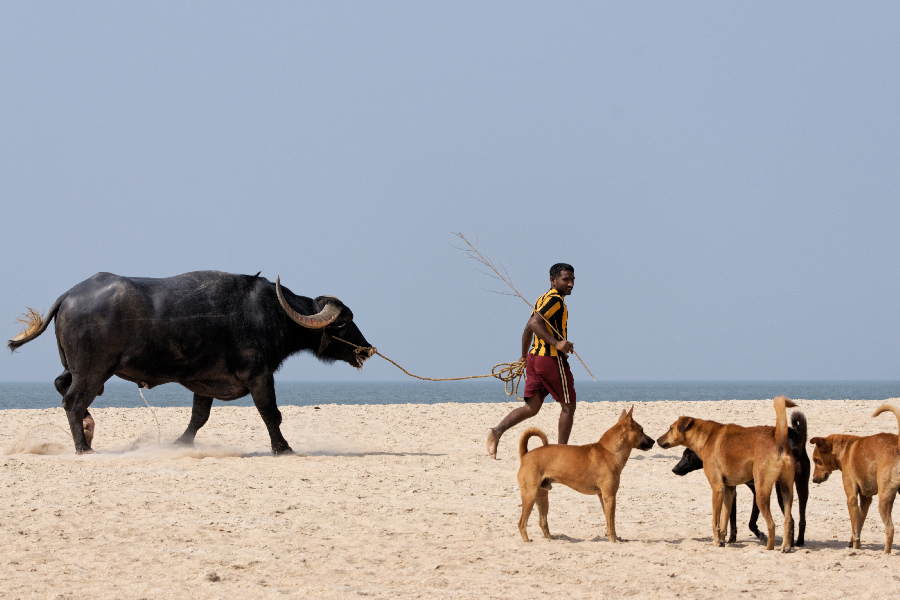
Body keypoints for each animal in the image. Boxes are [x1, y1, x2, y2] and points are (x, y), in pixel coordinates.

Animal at [7, 270, 372, 452]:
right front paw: (283, 448)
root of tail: (69, 295)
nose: (367, 349)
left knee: (62, 386)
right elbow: (271, 413)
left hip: (77, 368)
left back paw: (88, 429)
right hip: (93, 370)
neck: (272, 313)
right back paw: (83, 446)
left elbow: (199, 417)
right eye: (345, 322)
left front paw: (180, 444)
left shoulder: (205, 381)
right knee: (72, 399)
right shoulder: (259, 375)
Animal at [512, 408, 652, 544]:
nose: (653, 441)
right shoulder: (610, 496)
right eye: (641, 430)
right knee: (521, 523)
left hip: (542, 496)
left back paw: (552, 539)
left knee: (542, 522)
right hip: (529, 495)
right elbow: (611, 523)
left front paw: (614, 537)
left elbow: (608, 521)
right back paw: (527, 541)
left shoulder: (603, 497)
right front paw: (614, 540)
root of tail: (525, 455)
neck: (609, 451)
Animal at [652, 396, 796, 552]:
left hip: (761, 493)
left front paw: (716, 542)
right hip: (786, 492)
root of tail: (778, 441)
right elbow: (724, 521)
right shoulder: (729, 490)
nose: (657, 440)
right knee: (788, 520)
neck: (706, 437)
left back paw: (769, 548)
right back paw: (786, 547)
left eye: (670, 428)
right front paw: (722, 540)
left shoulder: (717, 488)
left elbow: (715, 521)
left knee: (771, 524)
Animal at [672, 410, 812, 548]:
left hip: (781, 491)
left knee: (791, 519)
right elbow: (731, 517)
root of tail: (796, 444)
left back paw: (790, 544)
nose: (674, 469)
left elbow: (750, 521)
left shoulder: (755, 491)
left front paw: (760, 535)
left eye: (687, 456)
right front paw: (731, 538)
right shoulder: (732, 489)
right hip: (802, 487)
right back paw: (798, 541)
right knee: (801, 518)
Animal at [808, 404, 900, 552]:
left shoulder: (851, 497)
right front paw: (853, 541)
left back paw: (886, 553)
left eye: (816, 460)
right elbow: (858, 522)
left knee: (890, 529)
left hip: (884, 499)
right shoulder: (866, 498)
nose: (814, 480)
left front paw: (856, 546)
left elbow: (855, 526)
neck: (845, 449)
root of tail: (898, 445)